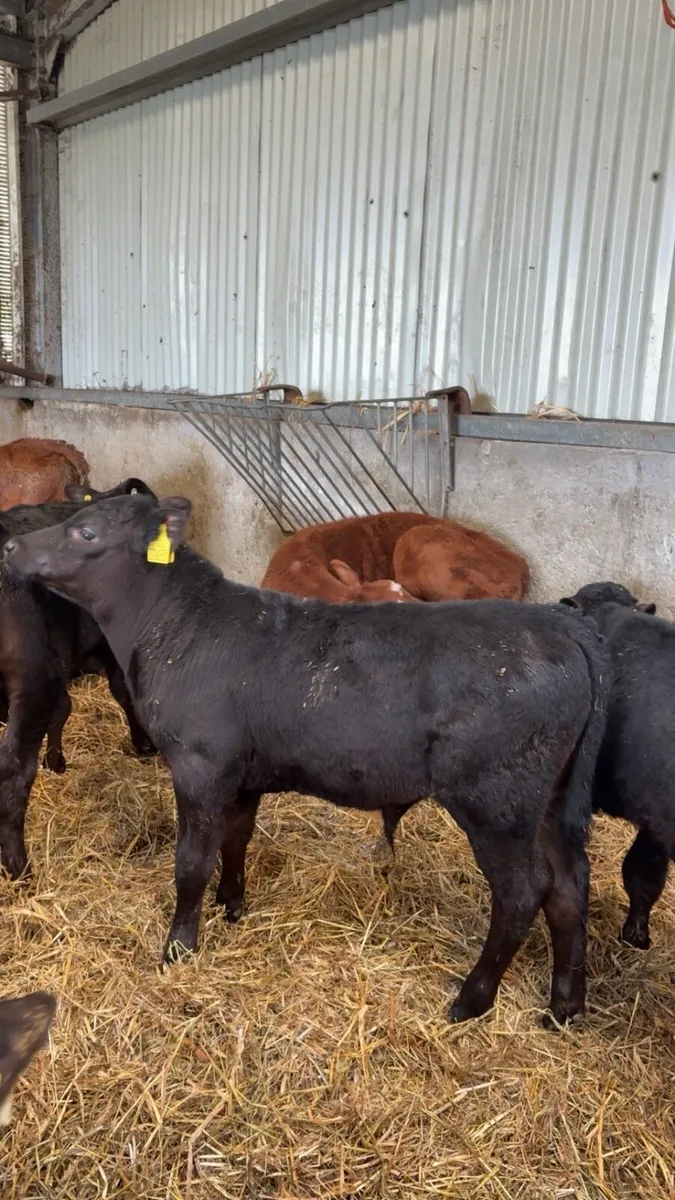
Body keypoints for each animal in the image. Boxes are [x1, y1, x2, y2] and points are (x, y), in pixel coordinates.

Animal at [0, 479, 156, 880]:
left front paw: (56, 760)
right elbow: (124, 692)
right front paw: (143, 744)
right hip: (32, 680)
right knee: (14, 770)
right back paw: (19, 866)